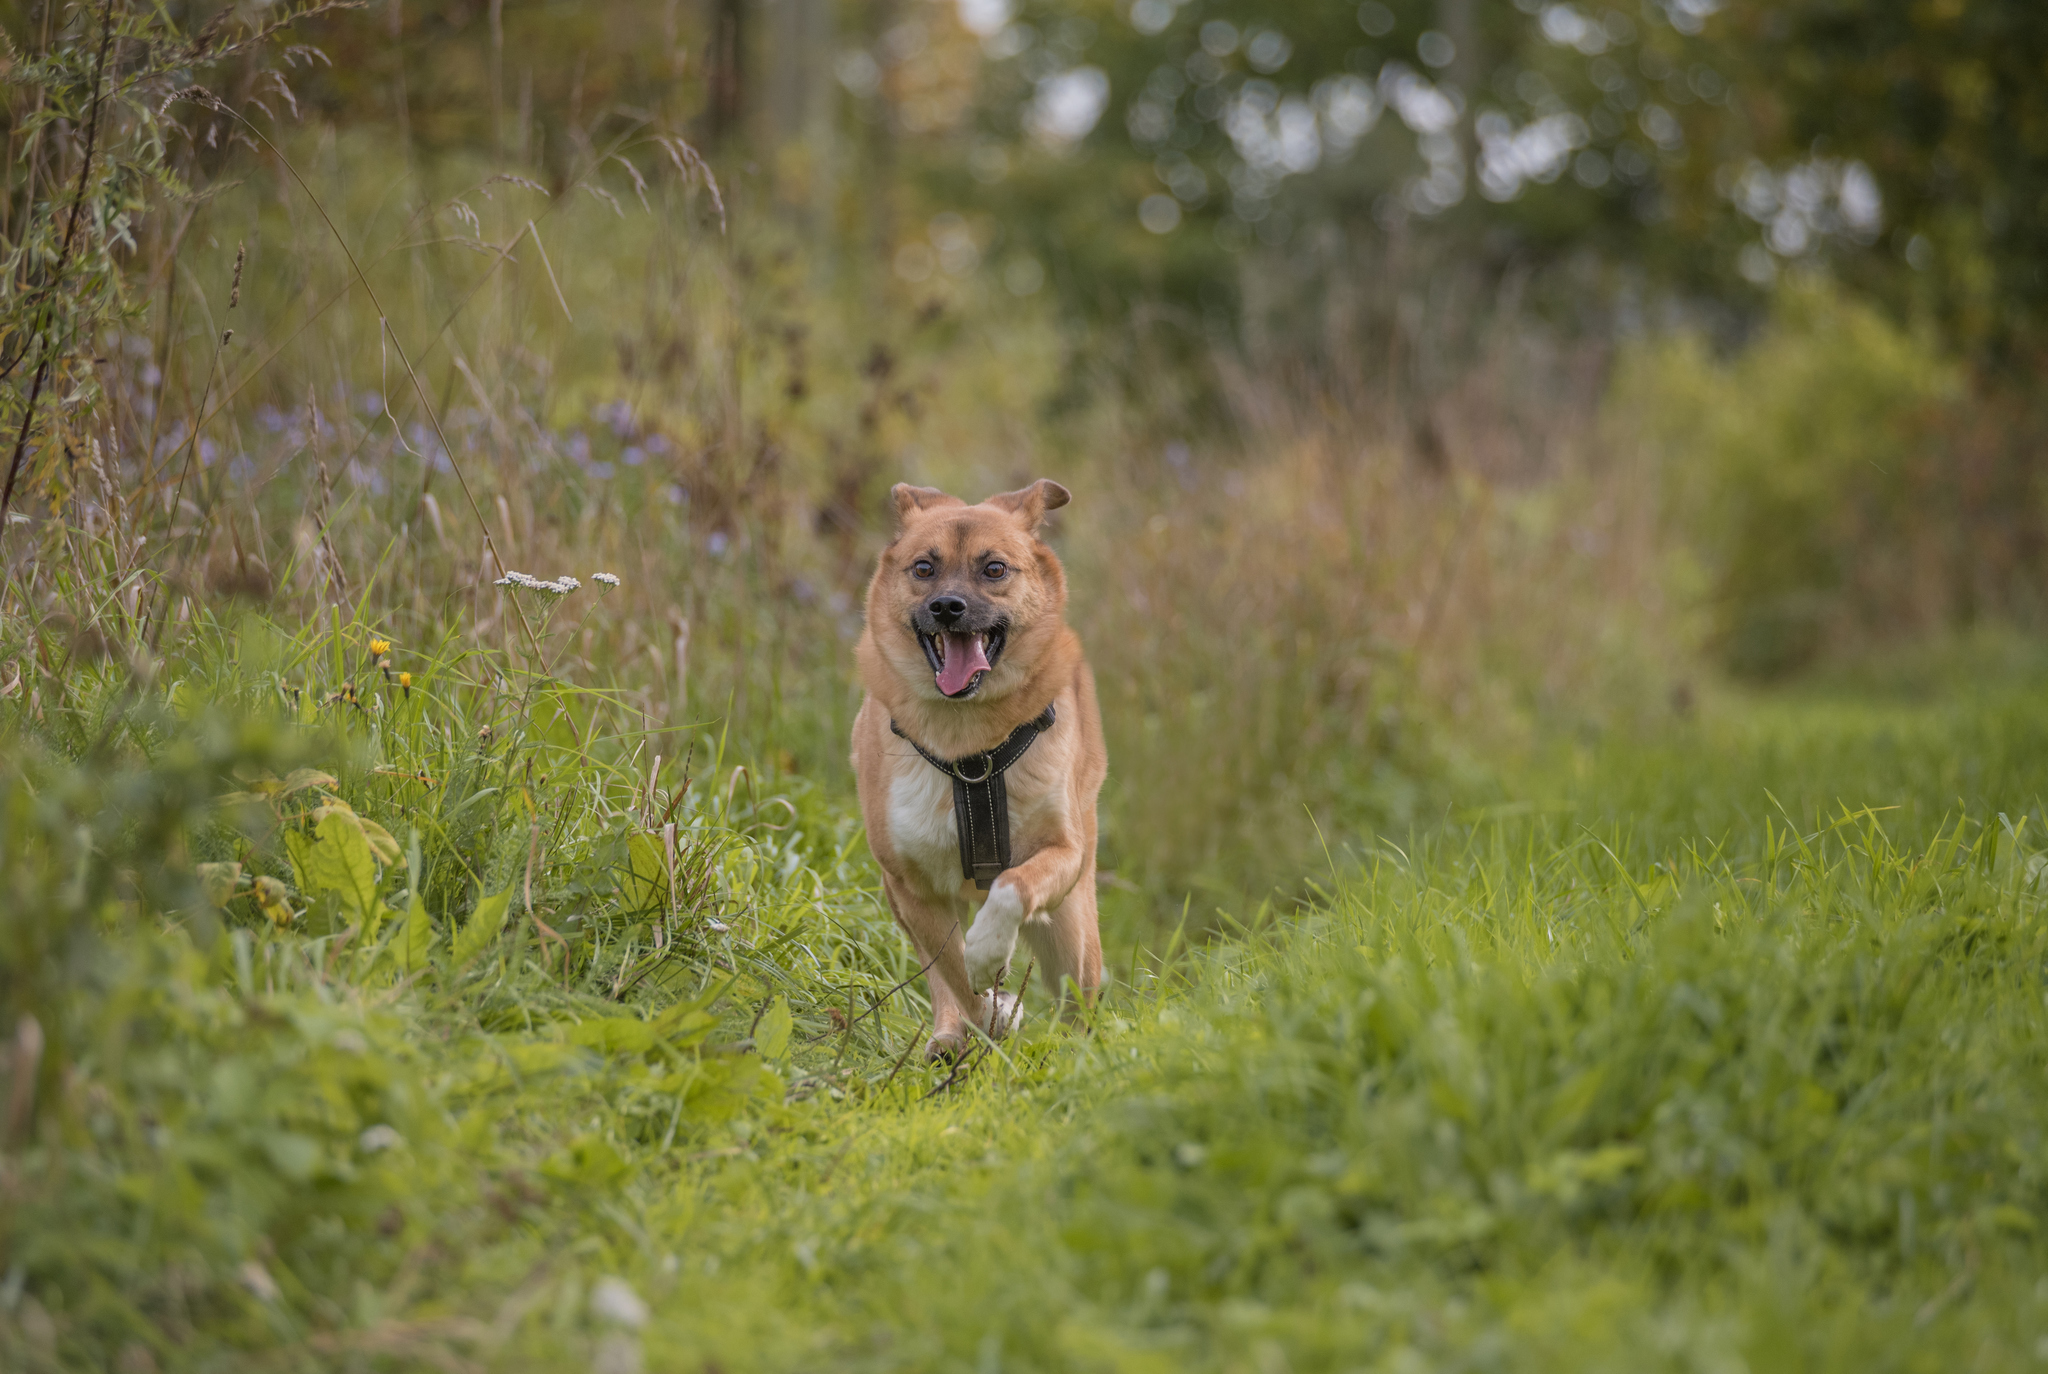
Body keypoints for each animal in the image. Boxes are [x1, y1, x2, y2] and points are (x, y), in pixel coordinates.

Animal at [847, 479, 1105, 1056]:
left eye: (994, 568)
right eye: (924, 567)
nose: (947, 606)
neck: (969, 748)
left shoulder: (1064, 852)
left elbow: (1012, 886)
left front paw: (989, 952)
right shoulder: (911, 887)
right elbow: (955, 975)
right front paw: (992, 1012)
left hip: (1072, 931)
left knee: (1079, 1000)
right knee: (941, 980)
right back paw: (950, 1037)